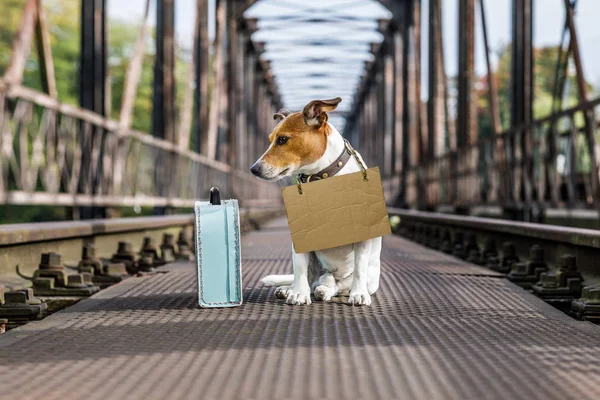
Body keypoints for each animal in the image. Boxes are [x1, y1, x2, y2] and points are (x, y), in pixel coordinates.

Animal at [250, 97, 382, 306]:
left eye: (282, 139)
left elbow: (359, 269)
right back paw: (291, 289)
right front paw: (298, 293)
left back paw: (325, 290)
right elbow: (299, 268)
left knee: (337, 284)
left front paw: (359, 294)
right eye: (271, 140)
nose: (253, 169)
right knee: (311, 279)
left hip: (364, 277)